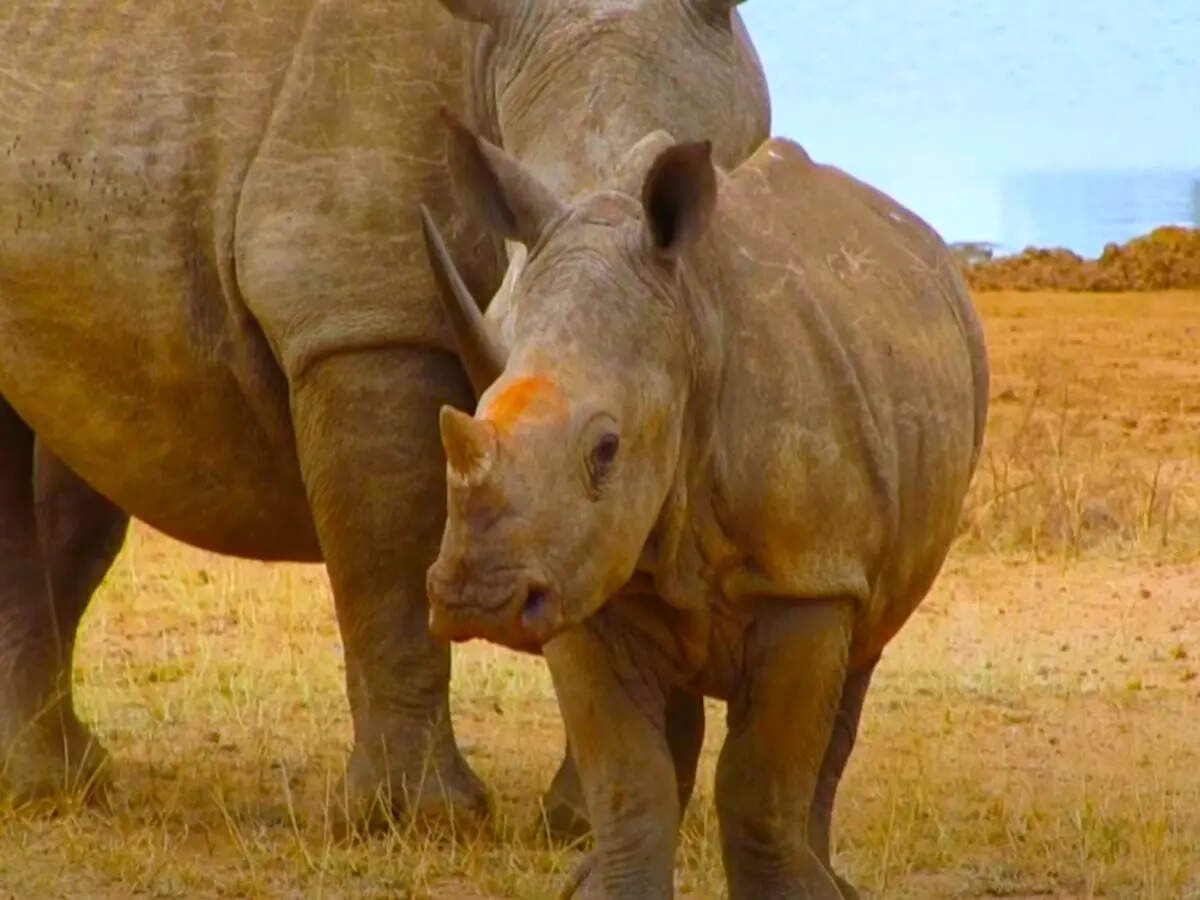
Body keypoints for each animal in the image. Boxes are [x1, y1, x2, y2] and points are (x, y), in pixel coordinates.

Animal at [0, 0, 768, 830]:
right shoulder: (360, 316)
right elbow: (389, 556)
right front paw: (421, 818)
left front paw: (588, 822)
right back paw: (44, 790)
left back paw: (73, 779)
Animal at [421, 120, 989, 897]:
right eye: (471, 412)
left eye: (606, 449)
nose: (477, 601)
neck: (688, 324)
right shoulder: (578, 577)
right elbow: (631, 786)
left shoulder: (808, 578)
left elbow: (759, 789)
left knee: (857, 669)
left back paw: (827, 880)